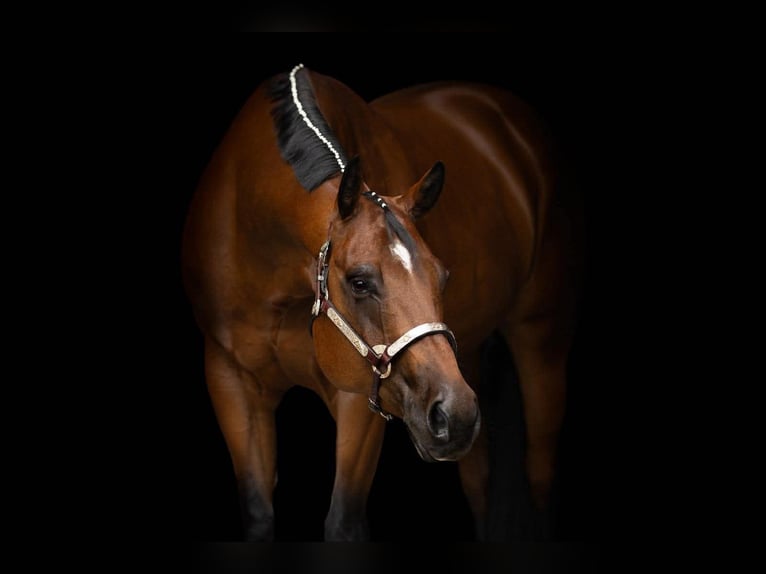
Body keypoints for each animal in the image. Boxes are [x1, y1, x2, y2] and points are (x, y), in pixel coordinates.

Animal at [182, 63, 583, 541]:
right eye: (359, 282)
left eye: (442, 276)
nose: (454, 414)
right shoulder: (231, 378)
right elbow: (259, 515)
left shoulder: (359, 395)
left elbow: (343, 520)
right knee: (479, 483)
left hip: (540, 340)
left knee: (540, 475)